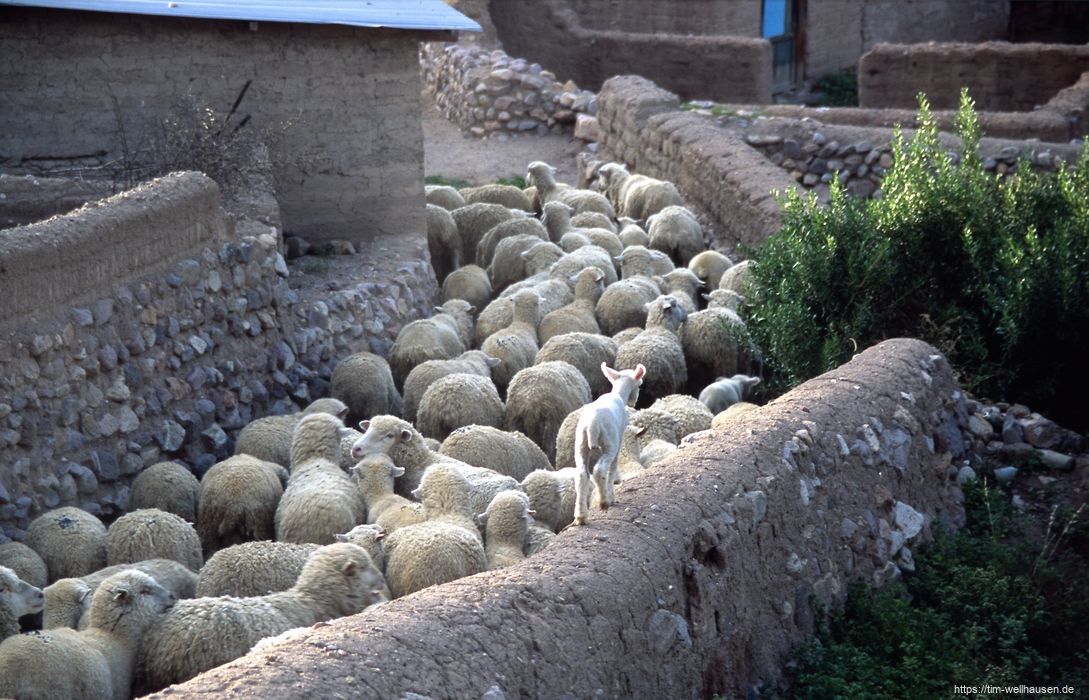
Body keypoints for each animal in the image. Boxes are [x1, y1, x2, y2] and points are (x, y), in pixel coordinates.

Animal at [573, 364, 647, 525]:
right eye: (639, 384)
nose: (634, 402)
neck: (619, 394)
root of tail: (593, 423)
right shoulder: (619, 439)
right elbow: (613, 468)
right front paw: (612, 497)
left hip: (580, 445)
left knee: (581, 475)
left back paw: (581, 516)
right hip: (609, 443)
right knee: (600, 470)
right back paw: (604, 502)